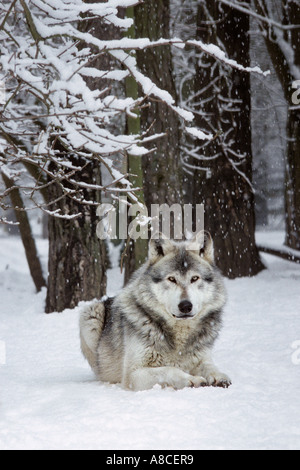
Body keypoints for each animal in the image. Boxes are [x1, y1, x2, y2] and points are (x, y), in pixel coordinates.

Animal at [78, 233, 231, 392]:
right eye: (172, 279)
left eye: (194, 278)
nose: (185, 306)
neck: (180, 336)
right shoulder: (133, 375)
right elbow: (170, 369)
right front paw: (192, 380)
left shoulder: (202, 358)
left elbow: (210, 366)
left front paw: (219, 376)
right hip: (90, 314)